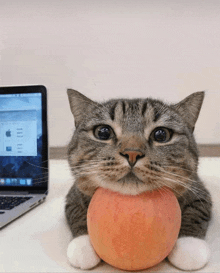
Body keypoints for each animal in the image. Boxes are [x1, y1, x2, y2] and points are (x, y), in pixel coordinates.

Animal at [65, 90, 211, 270]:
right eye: (103, 132)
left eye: (161, 135)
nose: (132, 153)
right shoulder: (73, 194)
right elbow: (76, 211)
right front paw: (82, 246)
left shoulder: (199, 189)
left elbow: (197, 211)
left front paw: (190, 246)